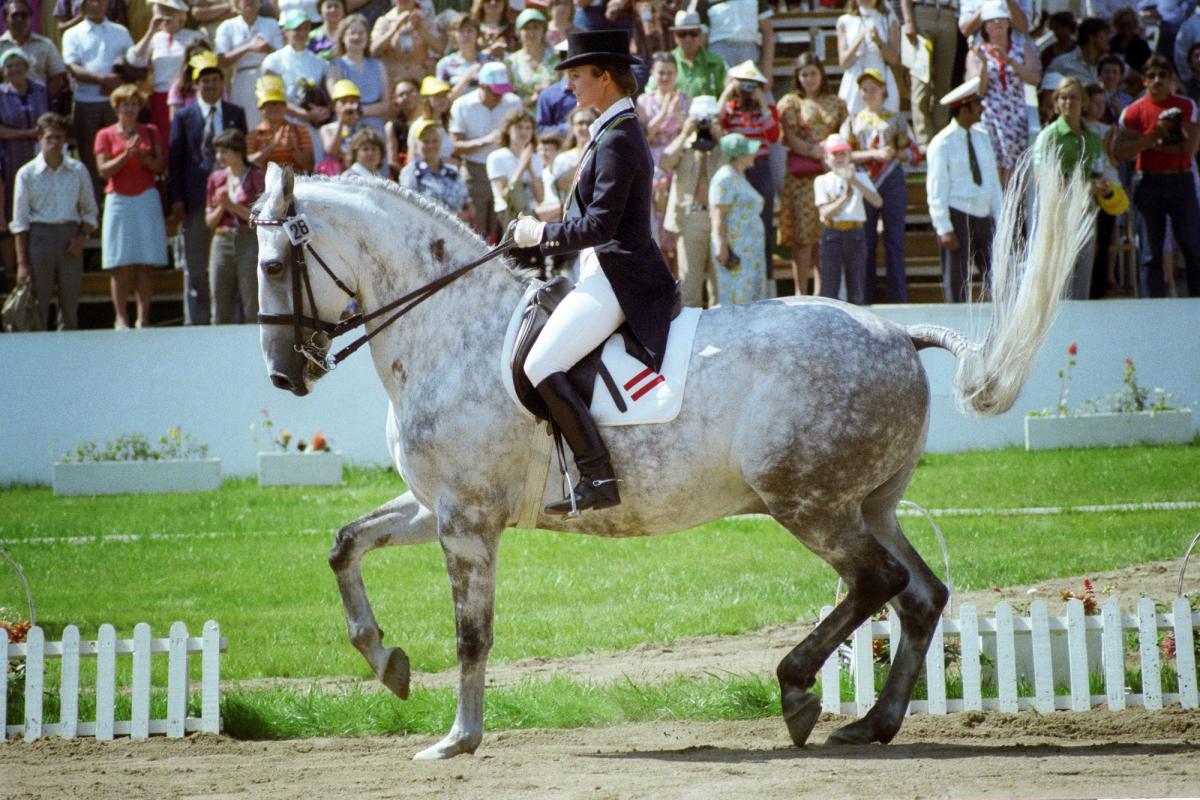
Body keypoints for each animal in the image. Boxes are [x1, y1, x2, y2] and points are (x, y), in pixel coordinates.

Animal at [255, 159, 1099, 762]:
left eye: (269, 266)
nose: (283, 376)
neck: (451, 330)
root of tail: (898, 333)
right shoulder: (438, 506)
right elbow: (344, 545)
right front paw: (386, 663)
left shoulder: (465, 519)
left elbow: (472, 633)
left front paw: (457, 740)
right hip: (868, 503)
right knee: (921, 594)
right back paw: (872, 723)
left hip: (808, 503)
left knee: (877, 583)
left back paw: (798, 691)